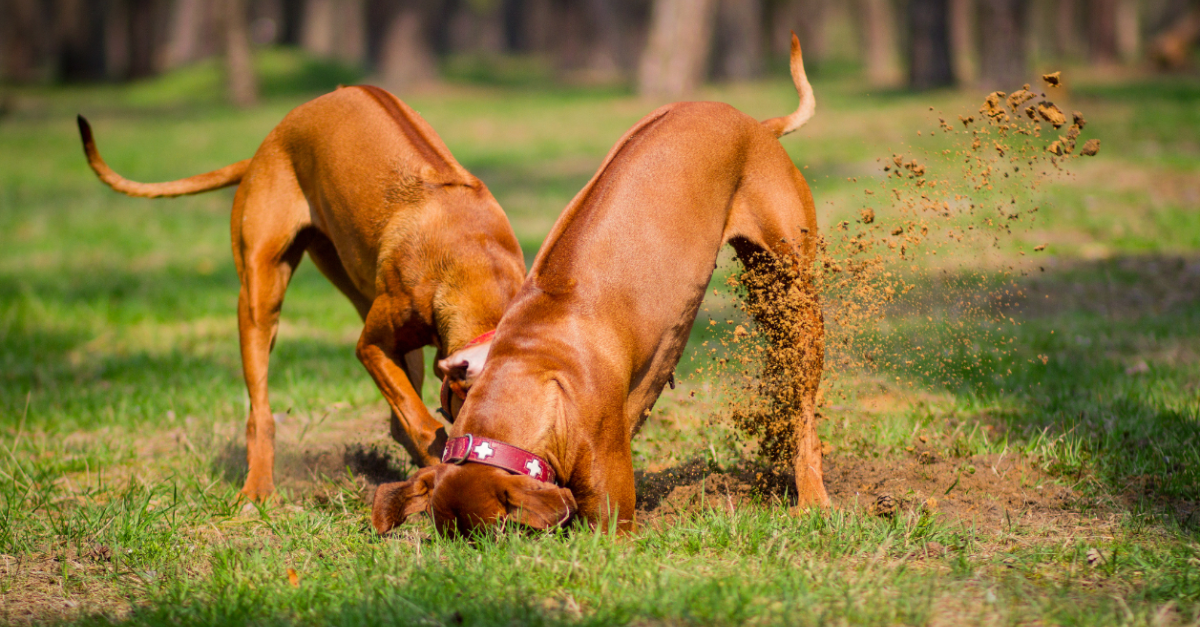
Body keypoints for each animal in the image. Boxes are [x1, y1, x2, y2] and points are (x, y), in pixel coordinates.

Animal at [76, 85, 525, 499]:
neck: (478, 265)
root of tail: (265, 147)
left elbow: (410, 412)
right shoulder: (373, 346)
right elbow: (419, 419)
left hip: (349, 274)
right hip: (260, 297)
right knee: (260, 413)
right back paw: (257, 489)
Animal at [372, 34, 825, 530]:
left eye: (494, 536)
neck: (533, 363)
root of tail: (756, 125)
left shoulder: (610, 506)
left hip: (796, 298)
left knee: (806, 408)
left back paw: (813, 496)